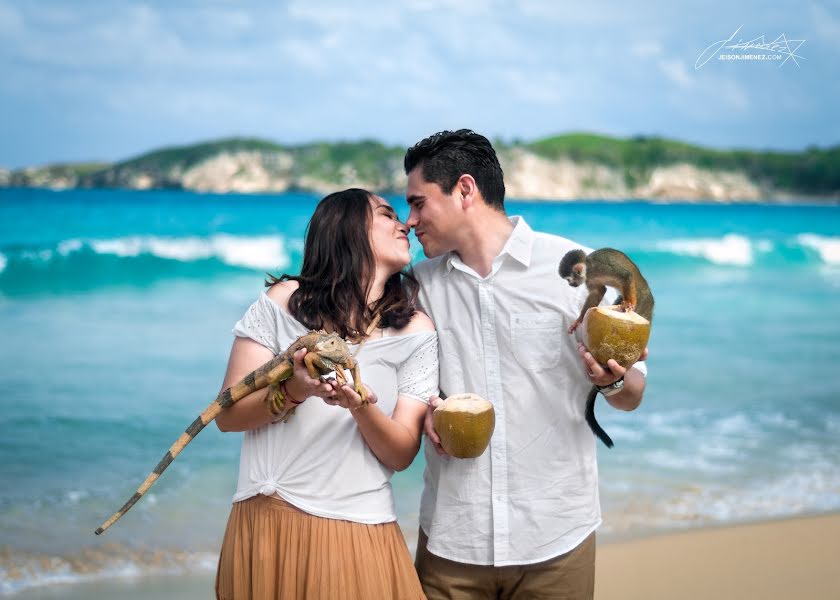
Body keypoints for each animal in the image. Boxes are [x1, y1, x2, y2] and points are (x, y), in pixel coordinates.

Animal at [560, 246, 652, 448]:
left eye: (570, 279)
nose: (571, 285)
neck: (588, 267)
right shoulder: (591, 279)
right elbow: (597, 292)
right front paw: (579, 320)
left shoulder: (599, 269)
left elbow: (625, 276)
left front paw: (629, 305)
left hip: (643, 299)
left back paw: (629, 305)